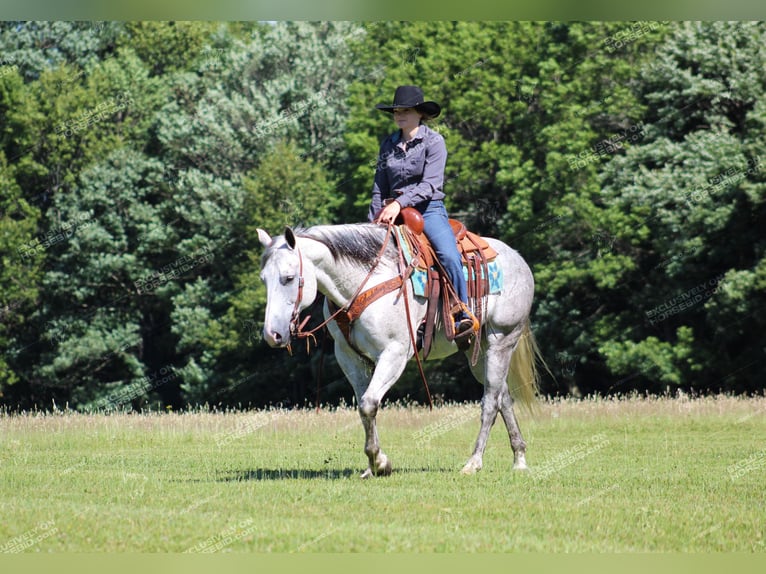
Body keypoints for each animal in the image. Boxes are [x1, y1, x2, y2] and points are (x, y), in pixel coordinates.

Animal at [258, 223, 540, 480]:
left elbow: (369, 404)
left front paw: (379, 463)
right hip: (477, 352)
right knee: (503, 396)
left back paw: (474, 462)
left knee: (490, 401)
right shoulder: (349, 358)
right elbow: (364, 406)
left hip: (501, 341)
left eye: (288, 278)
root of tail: (517, 258)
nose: (272, 335)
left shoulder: (394, 352)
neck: (365, 282)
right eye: (263, 279)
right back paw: (519, 458)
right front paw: (373, 465)